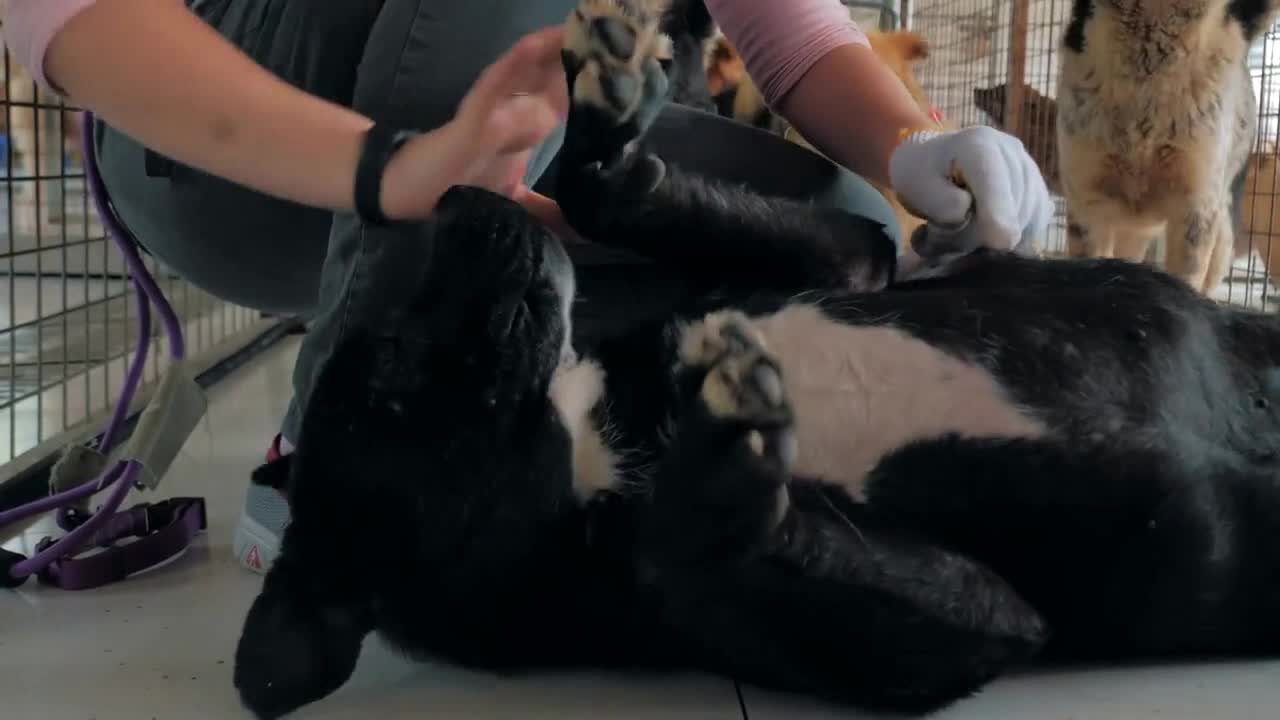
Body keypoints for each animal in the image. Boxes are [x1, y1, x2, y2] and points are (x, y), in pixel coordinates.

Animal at [232, 2, 1280, 712]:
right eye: (395, 365)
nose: (452, 197)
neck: (599, 429)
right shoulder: (981, 628)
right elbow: (695, 537)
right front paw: (722, 450)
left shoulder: (850, 262)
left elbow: (601, 194)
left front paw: (600, 117)